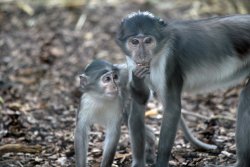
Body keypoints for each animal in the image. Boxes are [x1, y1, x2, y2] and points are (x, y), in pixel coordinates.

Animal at [74, 59, 217, 166]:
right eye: (107, 79)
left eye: (115, 77)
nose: (115, 86)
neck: (101, 98)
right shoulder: (86, 102)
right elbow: (81, 131)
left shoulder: (116, 102)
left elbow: (113, 134)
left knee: (135, 112)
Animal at [116, 11, 250, 166]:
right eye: (134, 42)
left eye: (148, 41)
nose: (142, 55)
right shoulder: (133, 64)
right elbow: (139, 102)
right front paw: (138, 162)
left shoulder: (169, 62)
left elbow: (172, 109)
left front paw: (160, 162)